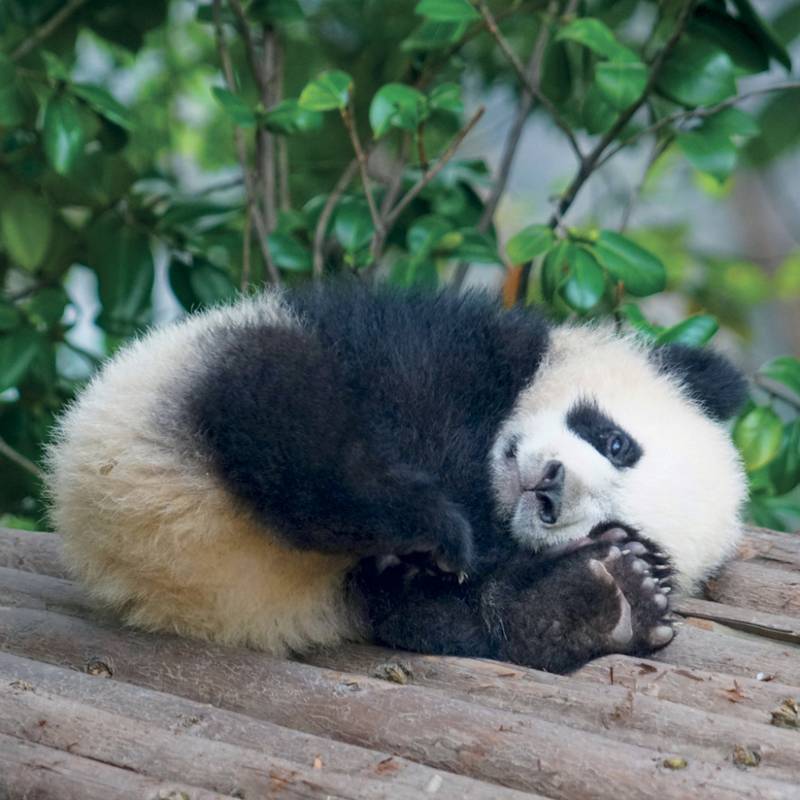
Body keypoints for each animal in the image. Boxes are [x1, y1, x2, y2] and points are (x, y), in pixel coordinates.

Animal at [46, 281, 748, 673]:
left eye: (610, 520)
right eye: (616, 441)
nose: (549, 490)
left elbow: (438, 612)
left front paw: (611, 588)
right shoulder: (448, 344)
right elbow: (410, 384)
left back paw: (601, 602)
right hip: (177, 387)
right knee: (284, 416)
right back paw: (425, 519)